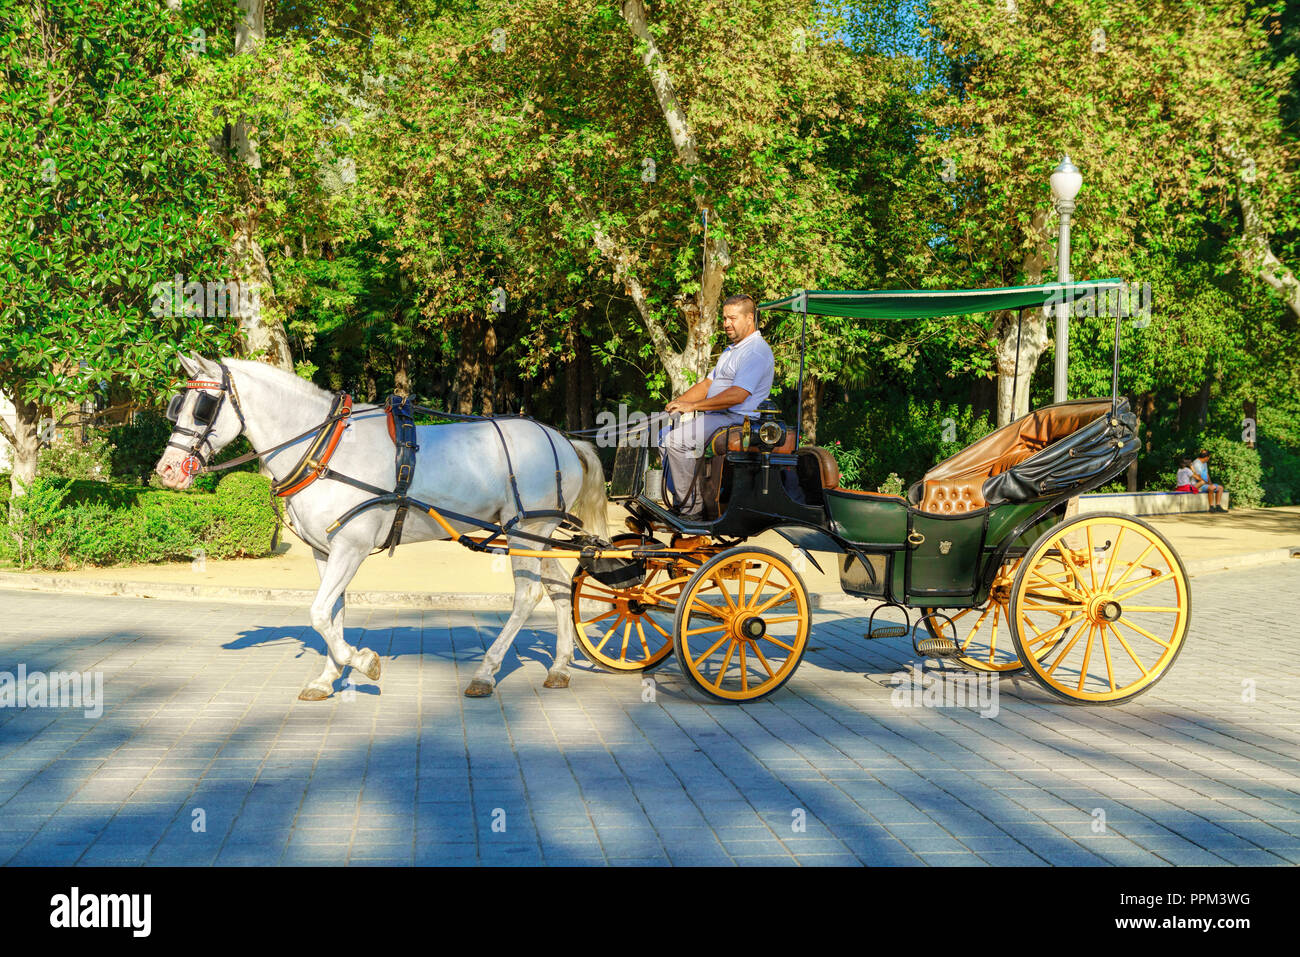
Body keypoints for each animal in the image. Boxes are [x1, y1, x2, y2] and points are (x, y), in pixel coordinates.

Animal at [154, 354, 608, 701]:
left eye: (203, 406)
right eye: (178, 404)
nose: (168, 470)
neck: (325, 448)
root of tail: (564, 440)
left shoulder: (351, 548)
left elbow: (319, 613)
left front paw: (363, 662)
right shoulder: (325, 551)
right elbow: (332, 615)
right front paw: (328, 677)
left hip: (526, 529)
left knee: (528, 596)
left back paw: (486, 672)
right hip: (535, 535)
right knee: (560, 588)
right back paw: (560, 667)